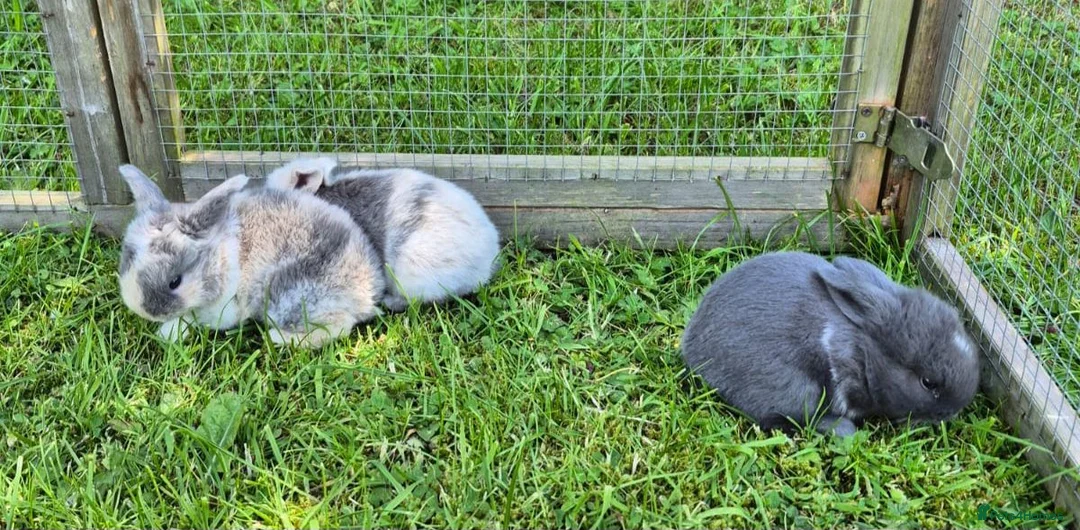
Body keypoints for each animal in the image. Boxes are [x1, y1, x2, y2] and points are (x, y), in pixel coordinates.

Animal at [116, 164, 385, 349]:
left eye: (175, 282)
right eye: (126, 265)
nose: (146, 311)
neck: (222, 257)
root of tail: (366, 294)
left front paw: (169, 332)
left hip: (286, 297)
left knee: (339, 325)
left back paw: (277, 337)